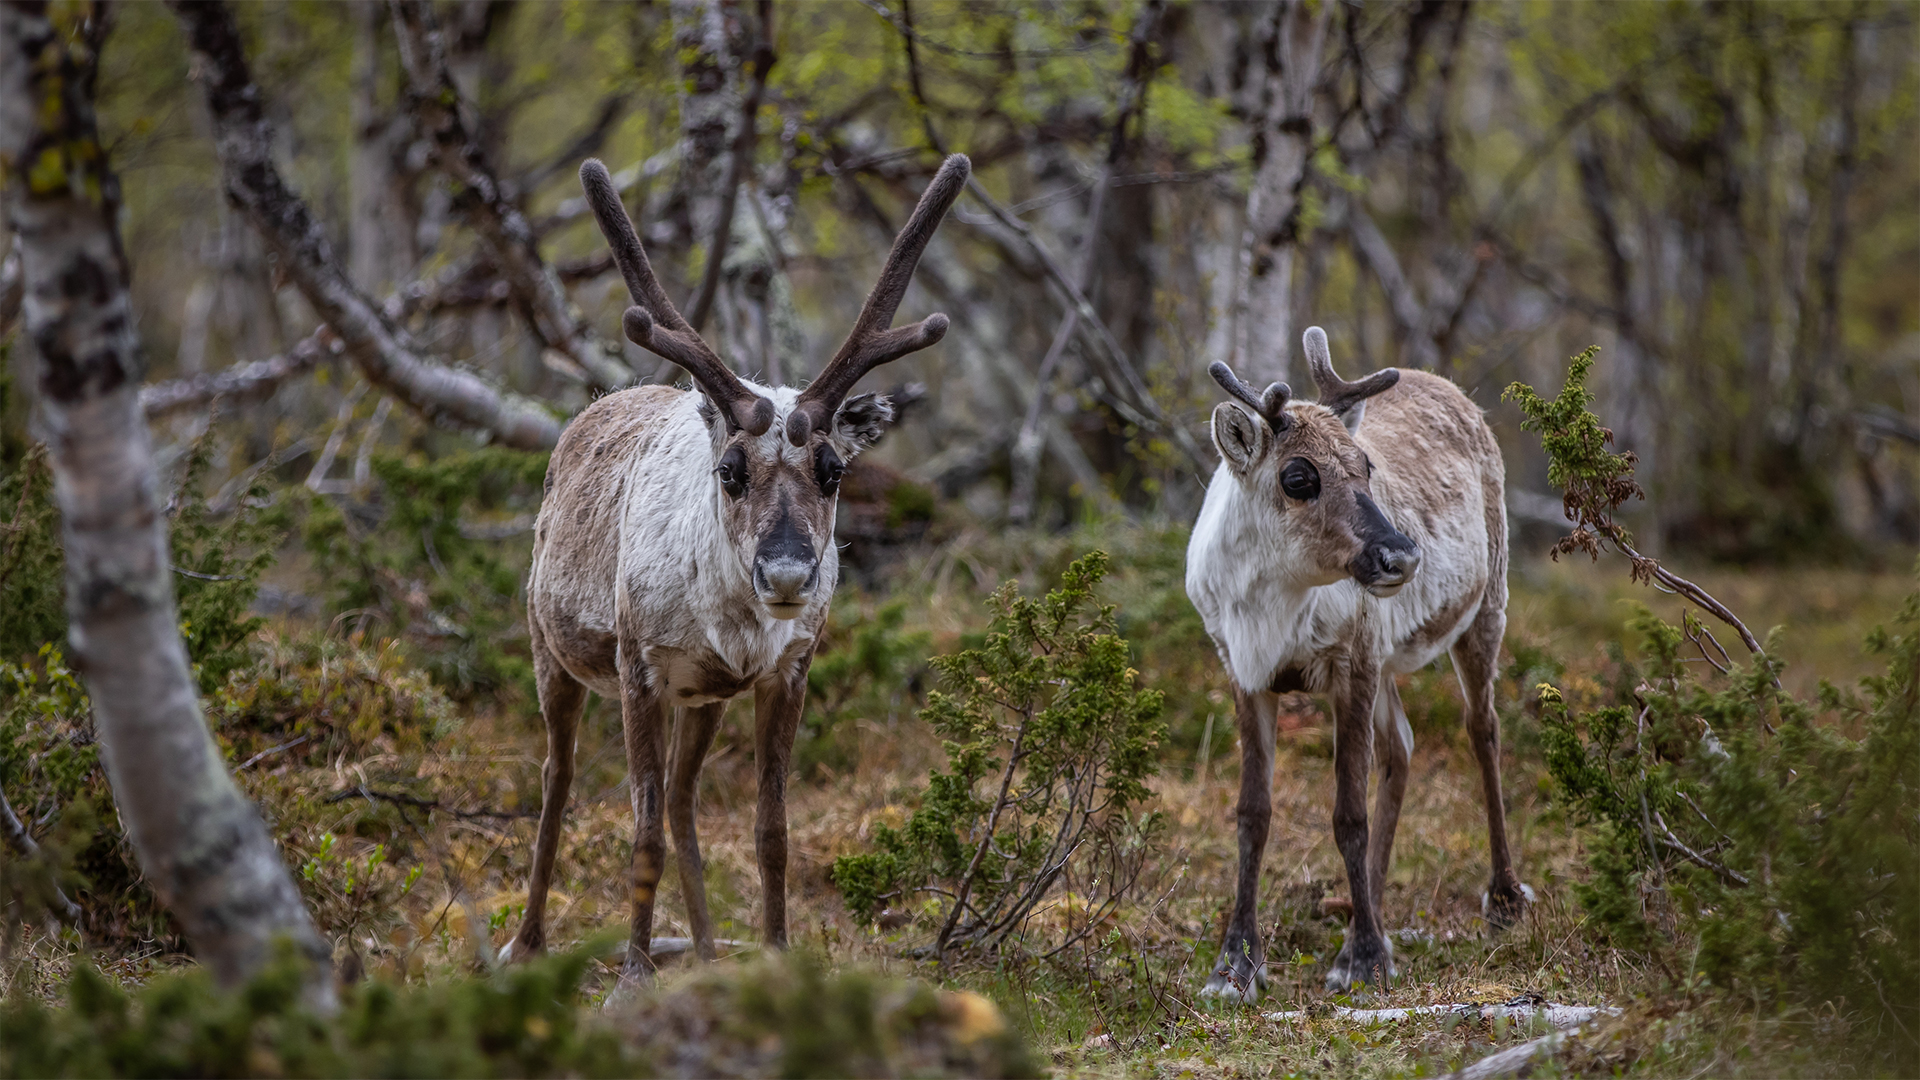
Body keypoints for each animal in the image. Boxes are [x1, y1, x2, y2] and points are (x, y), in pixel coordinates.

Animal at [501, 153, 971, 982]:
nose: (785, 576)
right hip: (550, 647)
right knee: (560, 778)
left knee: (683, 799)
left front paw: (777, 957)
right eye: (730, 470)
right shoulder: (639, 667)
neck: (729, 625)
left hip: (704, 699)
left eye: (833, 471)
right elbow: (640, 832)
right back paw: (527, 943)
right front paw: (632, 976)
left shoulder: (783, 673)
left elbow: (770, 832)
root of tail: (590, 411)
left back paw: (709, 951)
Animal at [1185, 326, 1533, 1001]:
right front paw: (1234, 964)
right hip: (1391, 660)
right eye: (1297, 476)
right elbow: (1252, 812)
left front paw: (1365, 960)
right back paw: (1362, 909)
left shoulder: (1353, 664)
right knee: (1402, 745)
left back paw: (1502, 898)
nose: (1401, 554)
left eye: (1366, 465)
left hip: (1485, 608)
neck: (1268, 604)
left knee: (1484, 730)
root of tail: (1453, 390)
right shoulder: (1243, 672)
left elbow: (1349, 814)